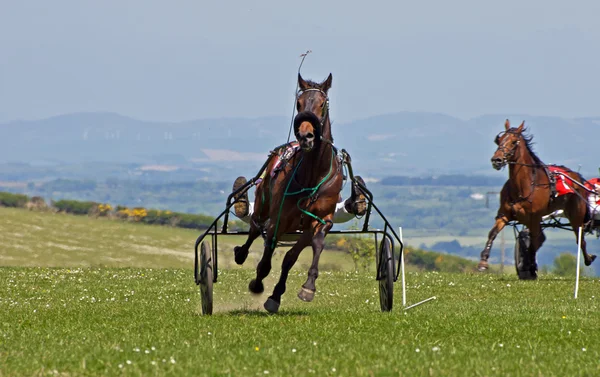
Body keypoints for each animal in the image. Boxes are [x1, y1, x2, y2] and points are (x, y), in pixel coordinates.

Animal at [233, 72, 342, 312]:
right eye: (299, 103)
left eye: (322, 104)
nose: (306, 136)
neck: (313, 175)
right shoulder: (280, 218)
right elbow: (266, 258)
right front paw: (258, 285)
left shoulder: (319, 220)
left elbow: (299, 253)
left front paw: (306, 288)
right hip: (263, 204)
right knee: (255, 227)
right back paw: (241, 253)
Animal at [478, 119, 596, 276]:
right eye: (499, 140)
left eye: (514, 142)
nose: (496, 160)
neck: (525, 185)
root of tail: (577, 177)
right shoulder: (505, 214)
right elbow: (492, 233)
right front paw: (483, 262)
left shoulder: (533, 217)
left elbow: (536, 241)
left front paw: (530, 264)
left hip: (576, 215)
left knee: (580, 238)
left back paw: (588, 258)